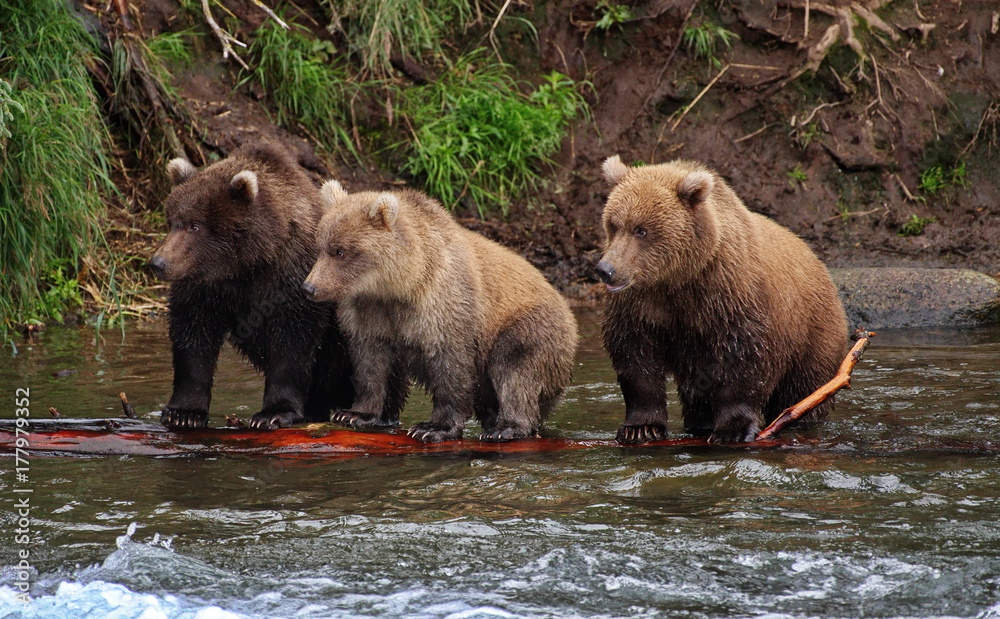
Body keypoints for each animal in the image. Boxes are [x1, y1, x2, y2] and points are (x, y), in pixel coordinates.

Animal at [149, 141, 356, 430]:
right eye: (172, 221)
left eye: (195, 226)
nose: (158, 262)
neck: (247, 265)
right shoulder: (206, 286)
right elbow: (193, 336)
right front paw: (184, 412)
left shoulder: (292, 277)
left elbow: (292, 341)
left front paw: (272, 414)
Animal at [300, 181, 579, 443]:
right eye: (320, 246)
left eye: (340, 251)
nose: (309, 287)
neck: (398, 286)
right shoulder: (368, 311)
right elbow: (371, 361)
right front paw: (354, 413)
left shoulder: (442, 305)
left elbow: (450, 365)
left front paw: (433, 428)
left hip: (532, 327)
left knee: (515, 370)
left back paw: (506, 428)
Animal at [596, 155, 848, 444]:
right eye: (613, 224)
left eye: (641, 230)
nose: (606, 269)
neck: (677, 279)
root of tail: (817, 259)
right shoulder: (639, 306)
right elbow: (635, 359)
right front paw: (640, 428)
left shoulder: (730, 296)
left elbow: (743, 359)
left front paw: (732, 430)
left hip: (811, 333)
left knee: (802, 387)